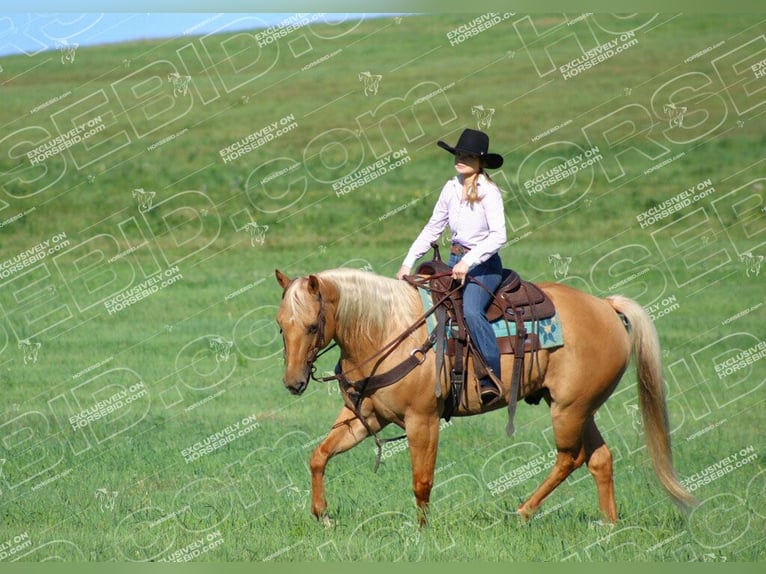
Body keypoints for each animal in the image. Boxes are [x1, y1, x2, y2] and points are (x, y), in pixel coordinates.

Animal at [278, 266, 704, 528]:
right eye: (281, 326)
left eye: (313, 326)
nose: (293, 383)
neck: (389, 331)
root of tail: (605, 306)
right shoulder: (364, 418)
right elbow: (319, 456)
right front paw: (322, 515)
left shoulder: (423, 420)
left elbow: (421, 481)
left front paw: (421, 531)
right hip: (579, 409)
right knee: (600, 458)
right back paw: (608, 524)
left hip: (569, 410)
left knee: (571, 457)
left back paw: (523, 512)